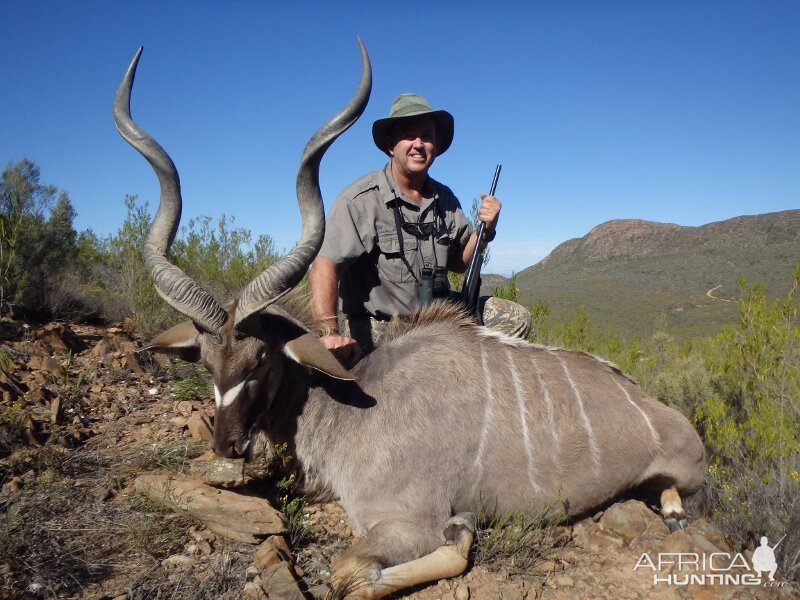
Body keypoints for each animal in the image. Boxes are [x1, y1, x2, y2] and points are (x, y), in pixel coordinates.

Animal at [114, 42, 708, 600]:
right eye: (206, 360)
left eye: (260, 359)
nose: (227, 447)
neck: (348, 409)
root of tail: (665, 413)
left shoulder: (404, 520)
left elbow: (355, 572)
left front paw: (458, 536)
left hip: (684, 474)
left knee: (675, 496)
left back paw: (672, 510)